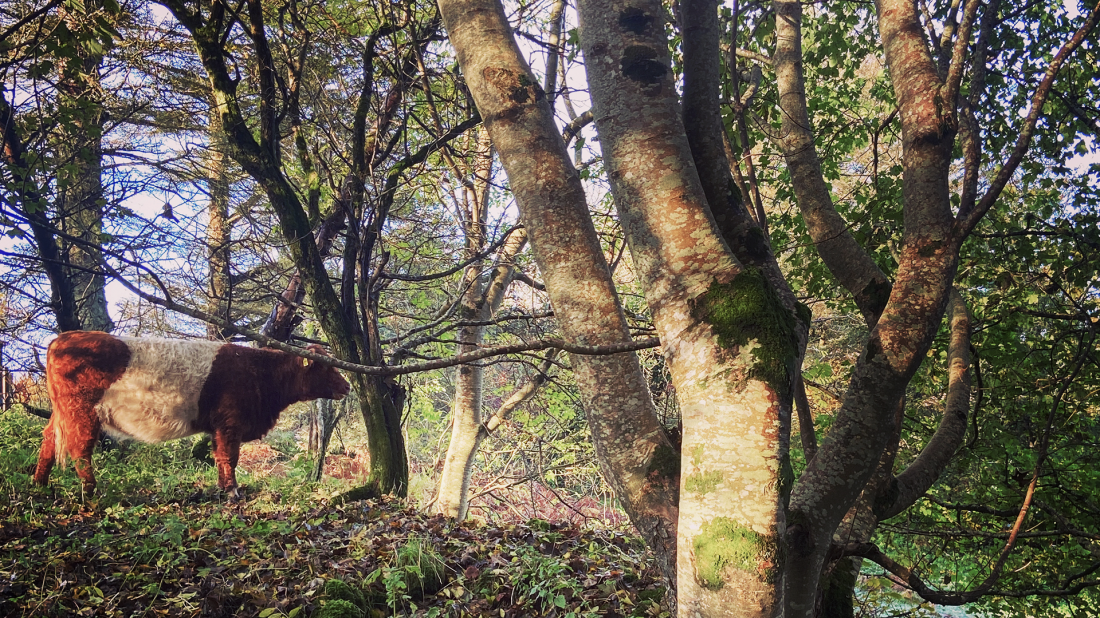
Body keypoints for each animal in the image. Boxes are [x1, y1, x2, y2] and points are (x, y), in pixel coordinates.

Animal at [33, 331, 351, 498]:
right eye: (326, 367)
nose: (347, 385)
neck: (260, 372)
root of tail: (61, 339)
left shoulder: (220, 426)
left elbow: (219, 456)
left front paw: (223, 488)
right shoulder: (230, 422)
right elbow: (229, 456)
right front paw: (232, 491)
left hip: (63, 412)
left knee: (48, 440)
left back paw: (39, 484)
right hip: (82, 410)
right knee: (79, 448)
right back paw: (90, 491)